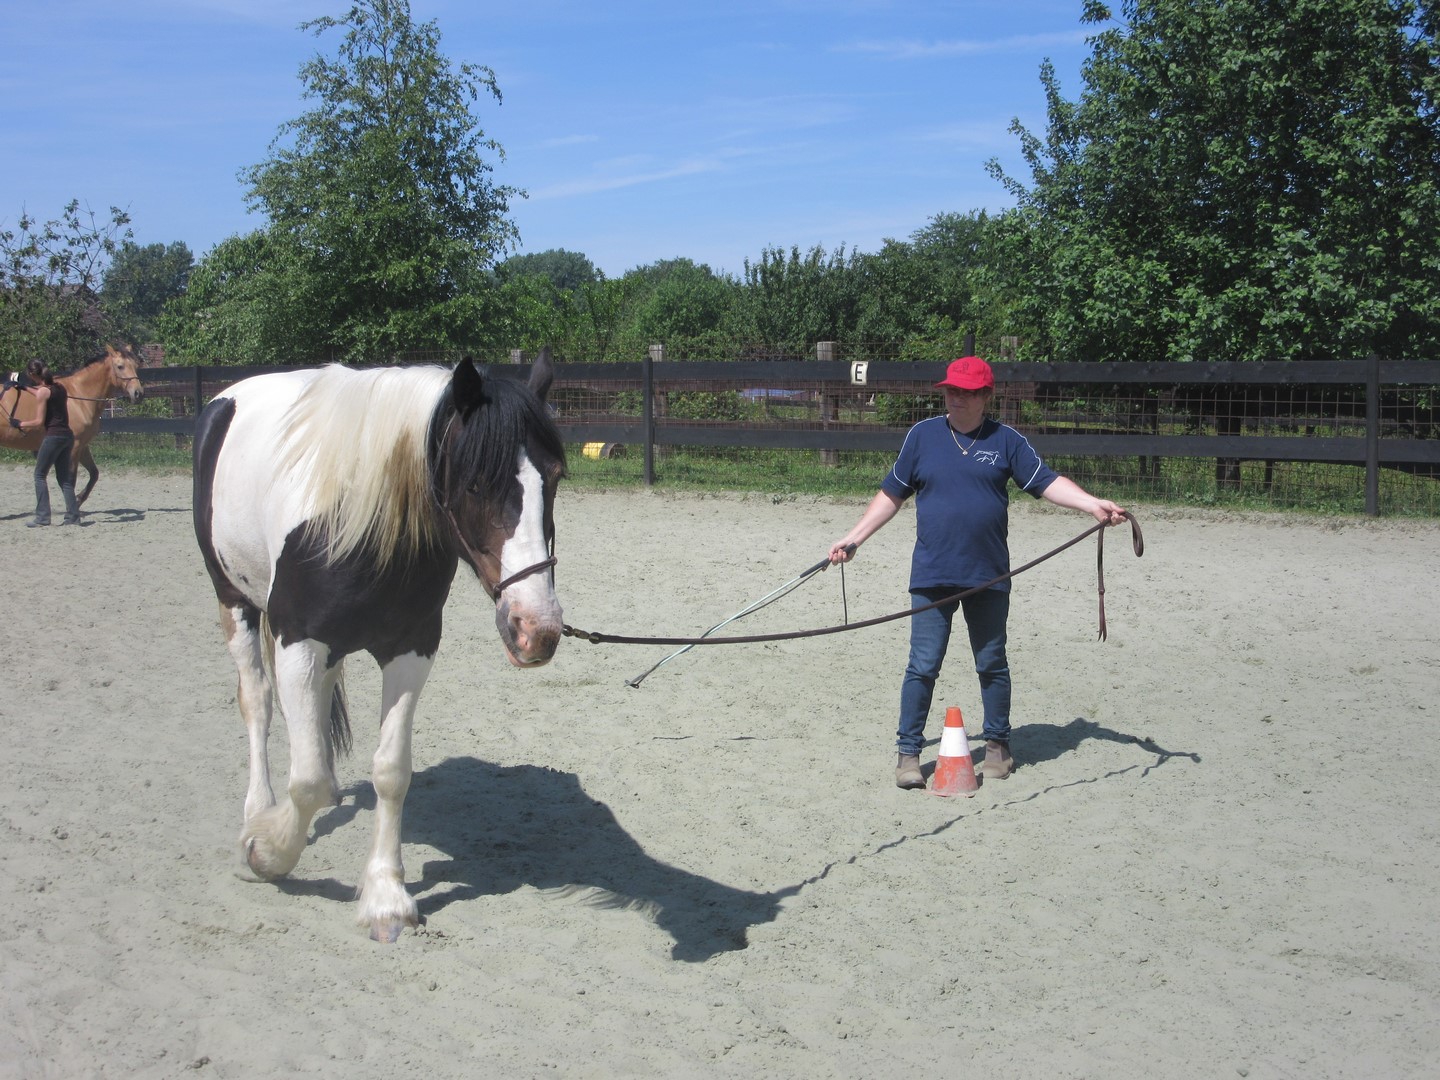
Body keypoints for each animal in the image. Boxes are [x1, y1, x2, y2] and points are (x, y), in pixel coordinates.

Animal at [0, 345, 146, 505]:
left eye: (136, 366)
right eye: (120, 366)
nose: (138, 393)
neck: (78, 397)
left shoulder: (82, 445)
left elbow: (94, 473)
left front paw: (78, 499)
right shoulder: (73, 447)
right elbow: (70, 480)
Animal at [192, 351, 566, 942]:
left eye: (554, 477)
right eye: (474, 485)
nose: (536, 628)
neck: (357, 524)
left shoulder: (411, 648)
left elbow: (391, 771)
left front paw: (386, 896)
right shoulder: (298, 641)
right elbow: (305, 779)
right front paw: (268, 852)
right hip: (234, 600)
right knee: (258, 702)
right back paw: (258, 811)